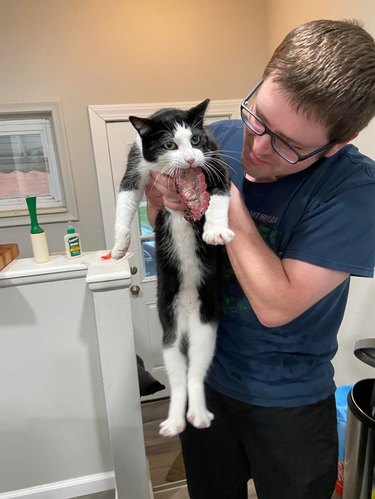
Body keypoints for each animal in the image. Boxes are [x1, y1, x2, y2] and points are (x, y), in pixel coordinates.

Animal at [111, 101, 235, 438]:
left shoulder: (214, 157)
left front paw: (215, 231)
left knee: (195, 373)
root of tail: (189, 314)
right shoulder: (137, 159)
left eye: (196, 139)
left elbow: (220, 195)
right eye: (169, 145)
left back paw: (199, 415)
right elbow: (125, 198)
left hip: (207, 327)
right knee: (179, 377)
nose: (191, 159)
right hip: (168, 327)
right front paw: (119, 244)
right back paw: (175, 421)